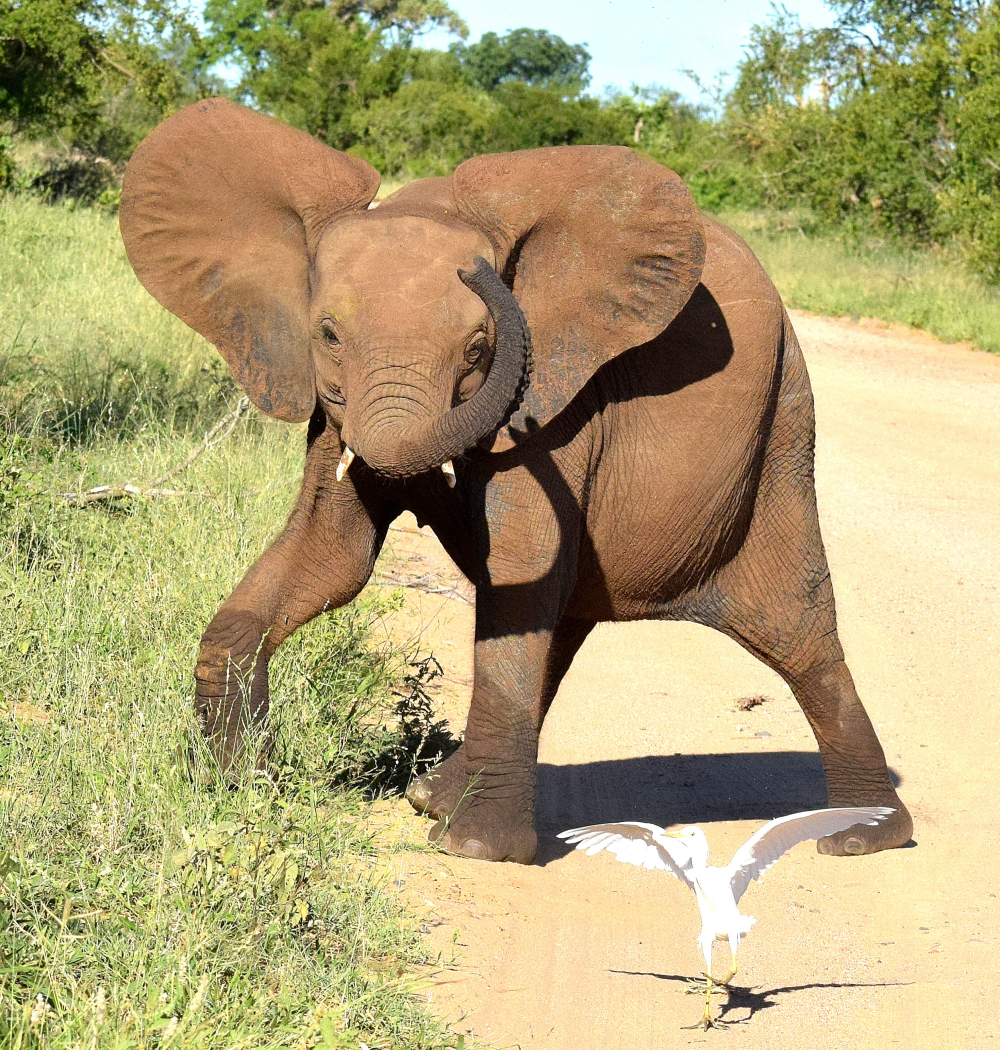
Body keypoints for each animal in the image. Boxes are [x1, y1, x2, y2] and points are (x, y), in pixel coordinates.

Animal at [119, 96, 915, 860]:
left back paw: (862, 836)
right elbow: (331, 558)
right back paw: (433, 797)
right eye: (328, 335)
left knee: (795, 632)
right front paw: (234, 778)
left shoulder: (557, 400)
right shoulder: (331, 411)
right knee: (561, 620)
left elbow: (513, 561)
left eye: (479, 348)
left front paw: (475, 849)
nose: (477, 273)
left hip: (783, 425)